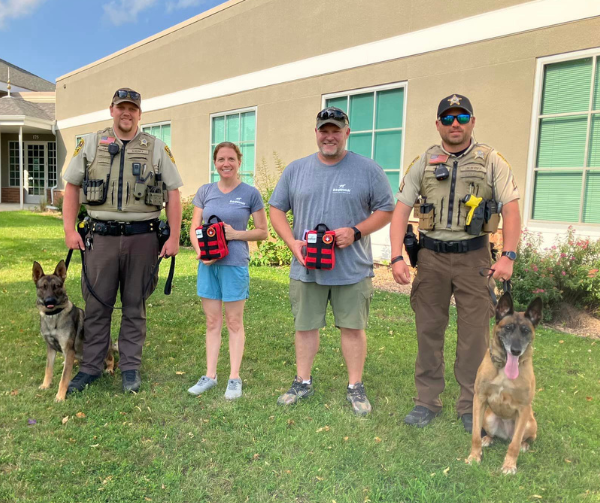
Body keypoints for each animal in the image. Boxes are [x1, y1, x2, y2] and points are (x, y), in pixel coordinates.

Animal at [32, 262, 115, 404]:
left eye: (57, 286)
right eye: (43, 287)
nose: (49, 301)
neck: (54, 316)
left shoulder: (68, 349)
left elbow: (64, 377)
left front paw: (60, 396)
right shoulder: (50, 348)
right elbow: (48, 369)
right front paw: (46, 385)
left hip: (104, 347)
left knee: (111, 359)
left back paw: (109, 368)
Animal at [466, 294, 548, 474]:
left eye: (526, 331)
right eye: (508, 328)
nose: (516, 351)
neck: (504, 369)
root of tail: (505, 434)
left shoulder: (524, 408)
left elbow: (514, 444)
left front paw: (509, 465)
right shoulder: (479, 399)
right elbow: (475, 435)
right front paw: (474, 456)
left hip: (529, 423)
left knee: (521, 438)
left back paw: (524, 444)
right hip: (488, 417)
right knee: (491, 434)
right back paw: (487, 439)